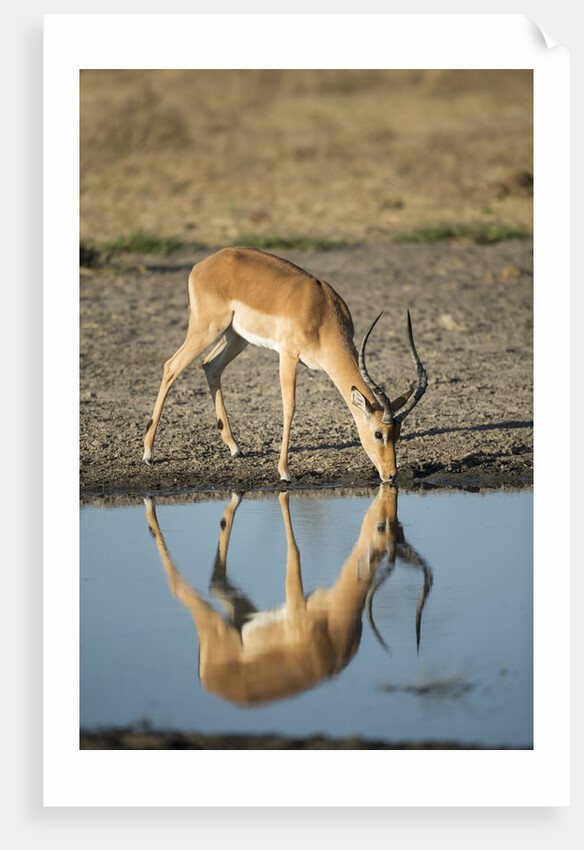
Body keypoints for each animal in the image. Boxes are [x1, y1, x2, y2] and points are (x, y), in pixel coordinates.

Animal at [143, 247, 427, 482]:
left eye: (398, 433)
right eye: (379, 433)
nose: (391, 475)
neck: (321, 312)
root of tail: (202, 265)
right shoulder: (288, 355)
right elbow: (289, 407)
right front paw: (284, 472)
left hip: (236, 337)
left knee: (210, 366)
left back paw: (234, 447)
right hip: (207, 328)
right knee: (171, 366)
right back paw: (148, 453)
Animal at [144, 486, 433, 707]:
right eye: (382, 528)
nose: (383, 510)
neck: (333, 627)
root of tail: (210, 683)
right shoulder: (296, 606)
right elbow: (294, 550)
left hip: (240, 614)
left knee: (216, 583)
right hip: (214, 625)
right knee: (178, 587)